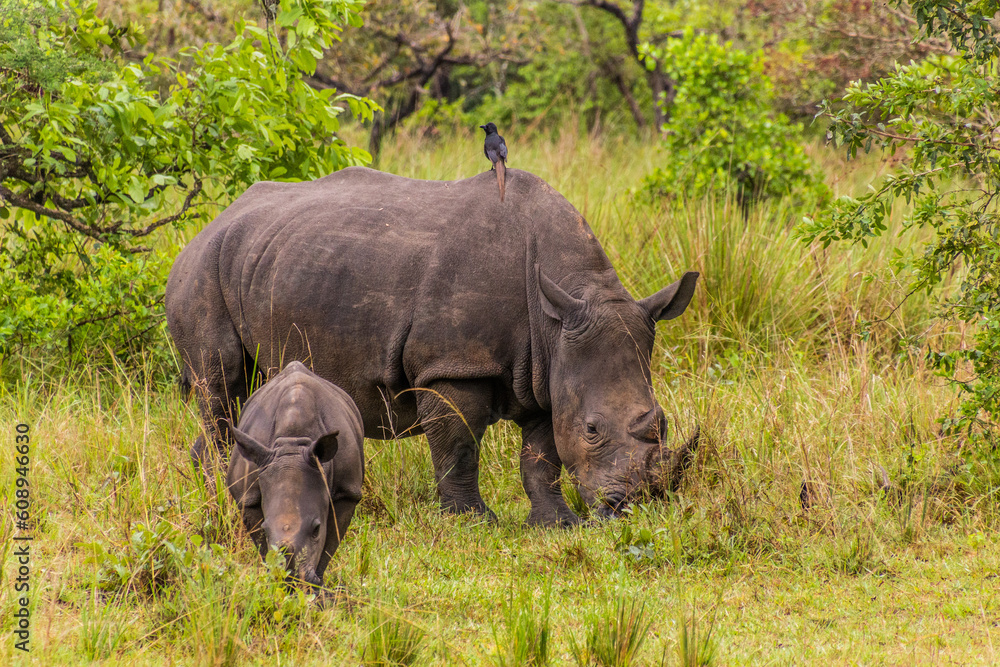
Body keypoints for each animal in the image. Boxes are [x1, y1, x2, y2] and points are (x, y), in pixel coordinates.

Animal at [166, 167, 698, 526]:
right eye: (592, 429)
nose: (629, 506)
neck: (566, 302)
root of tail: (209, 223)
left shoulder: (549, 374)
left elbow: (541, 457)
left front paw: (555, 524)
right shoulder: (451, 365)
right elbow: (458, 446)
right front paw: (471, 522)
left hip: (265, 260)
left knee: (242, 396)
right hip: (202, 268)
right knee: (221, 385)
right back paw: (222, 500)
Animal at [226, 361, 364, 586]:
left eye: (316, 529)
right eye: (265, 528)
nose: (290, 580)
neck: (293, 442)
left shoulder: (347, 491)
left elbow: (329, 543)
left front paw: (316, 587)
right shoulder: (247, 496)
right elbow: (262, 546)